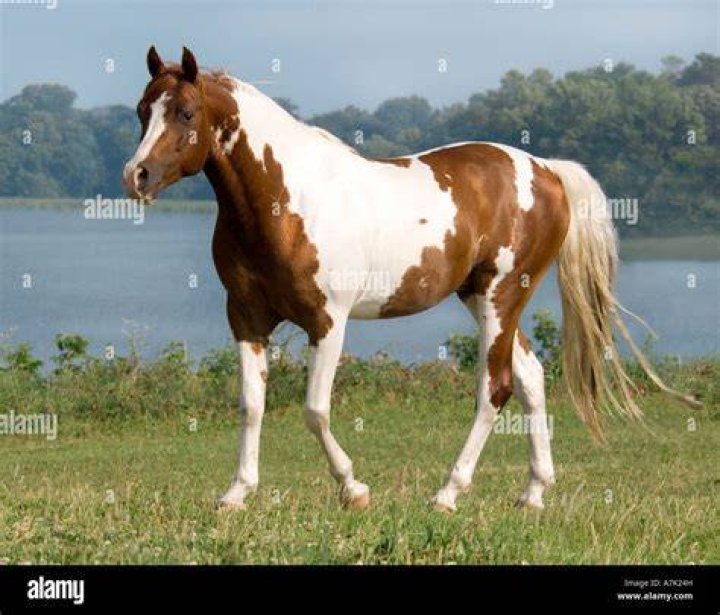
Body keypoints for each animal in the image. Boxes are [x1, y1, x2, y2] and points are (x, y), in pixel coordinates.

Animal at [123, 47, 698, 512]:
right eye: (142, 110)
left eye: (186, 112)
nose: (137, 176)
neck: (284, 200)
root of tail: (546, 170)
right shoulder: (246, 317)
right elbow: (251, 405)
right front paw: (237, 493)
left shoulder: (327, 322)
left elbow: (315, 410)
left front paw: (353, 489)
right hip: (482, 298)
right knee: (531, 378)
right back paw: (533, 492)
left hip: (501, 297)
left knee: (495, 388)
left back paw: (448, 493)